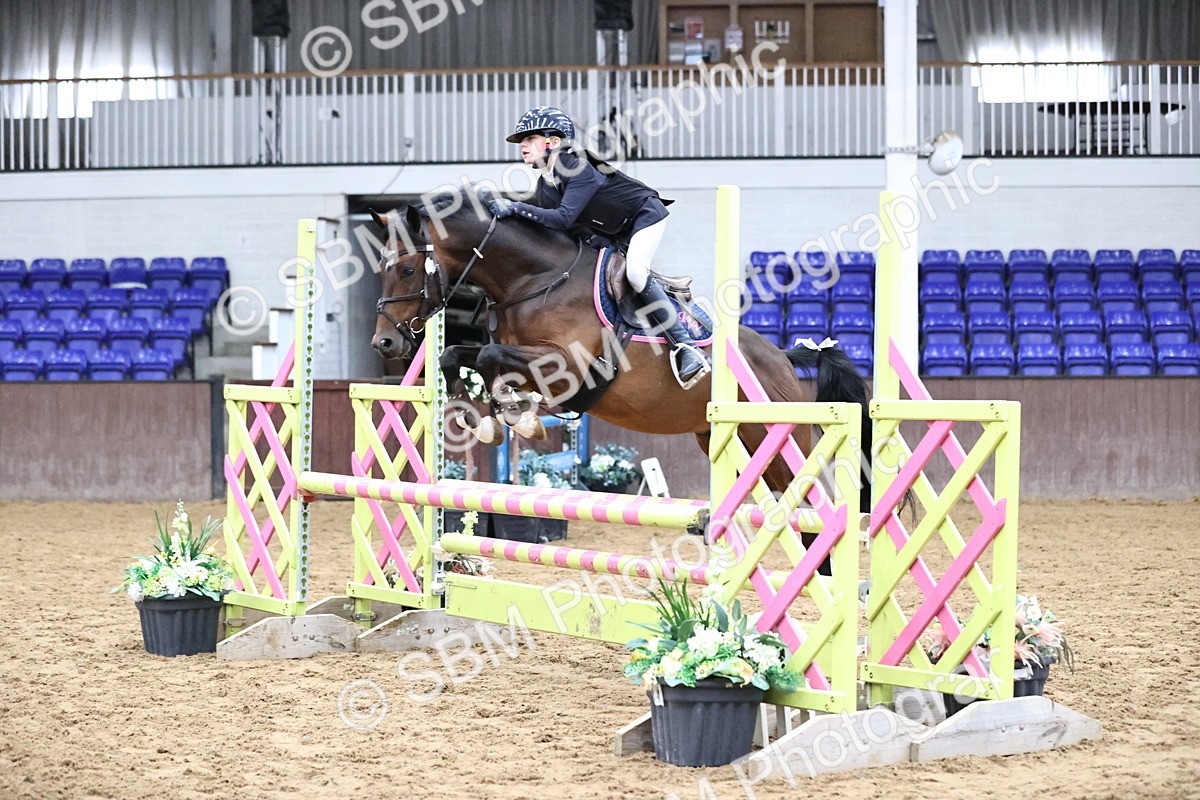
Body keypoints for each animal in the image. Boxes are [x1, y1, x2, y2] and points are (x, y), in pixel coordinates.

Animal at [368, 184, 872, 513]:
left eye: (408, 270)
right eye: (382, 268)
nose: (384, 342)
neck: (534, 280)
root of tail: (784, 359)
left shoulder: (569, 365)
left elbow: (491, 361)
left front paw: (520, 418)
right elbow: (458, 357)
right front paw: (485, 418)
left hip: (778, 443)